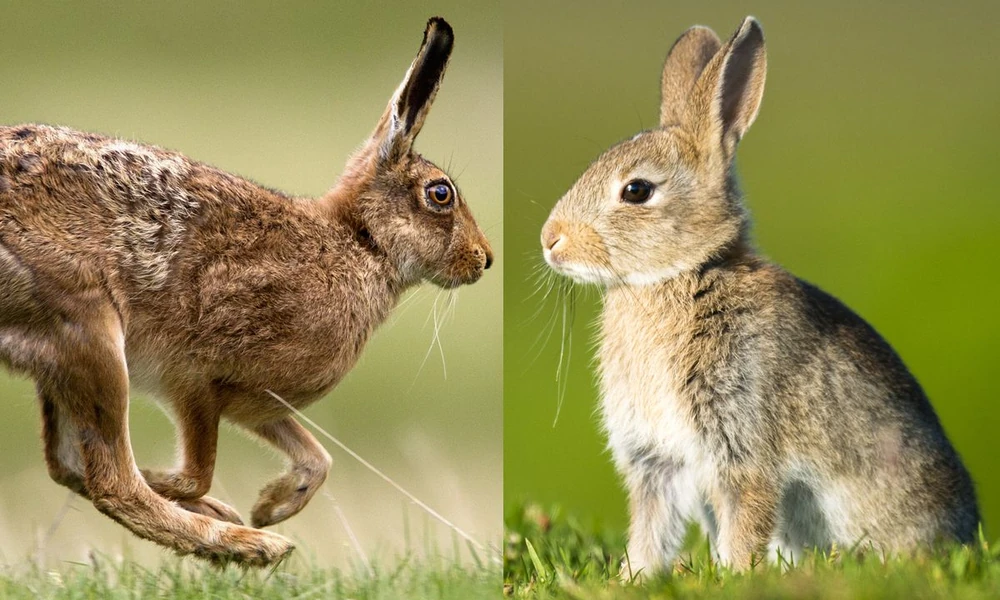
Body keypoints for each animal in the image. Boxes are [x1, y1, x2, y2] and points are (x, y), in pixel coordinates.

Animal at [0, 17, 492, 567]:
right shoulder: (197, 378)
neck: (361, 241)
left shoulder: (257, 404)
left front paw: (270, 505)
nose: (484, 258)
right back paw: (252, 545)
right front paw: (241, 510)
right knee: (111, 482)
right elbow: (195, 472)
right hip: (92, 331)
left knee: (66, 462)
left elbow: (318, 458)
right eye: (440, 193)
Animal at [540, 16, 978, 574]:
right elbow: (651, 529)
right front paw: (637, 577)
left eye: (636, 190)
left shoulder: (741, 440)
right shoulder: (656, 460)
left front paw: (734, 574)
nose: (550, 240)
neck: (683, 274)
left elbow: (745, 517)